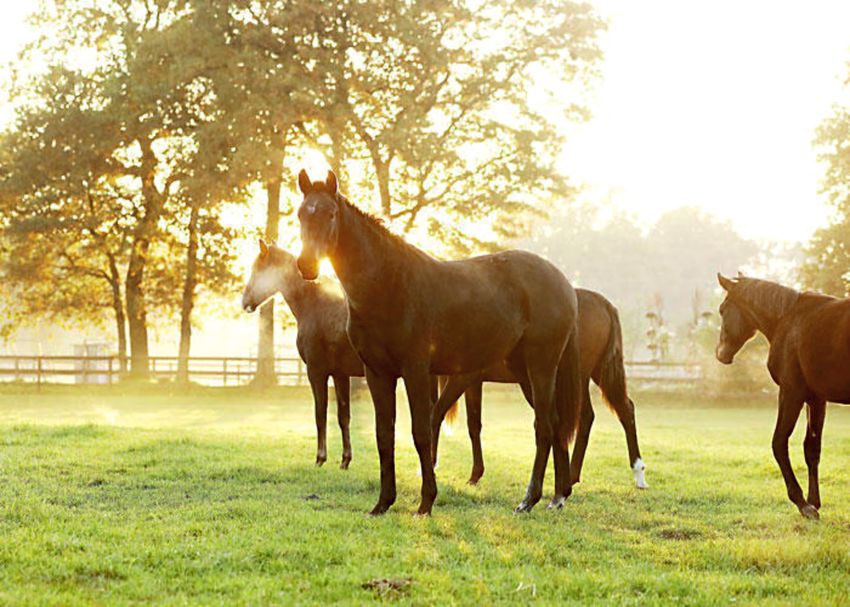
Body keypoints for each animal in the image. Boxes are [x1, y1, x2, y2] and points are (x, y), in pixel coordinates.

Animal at [242, 240, 364, 469]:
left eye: (256, 270)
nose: (245, 302)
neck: (315, 304)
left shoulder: (316, 372)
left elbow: (320, 414)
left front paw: (320, 458)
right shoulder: (340, 374)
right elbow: (343, 416)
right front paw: (345, 461)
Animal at [296, 170, 583, 516]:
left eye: (330, 214)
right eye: (301, 215)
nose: (306, 265)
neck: (390, 284)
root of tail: (564, 283)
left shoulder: (416, 370)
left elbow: (421, 432)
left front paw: (425, 502)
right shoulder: (377, 373)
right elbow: (384, 435)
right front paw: (383, 503)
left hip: (541, 366)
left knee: (543, 427)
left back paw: (529, 500)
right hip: (523, 370)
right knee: (554, 424)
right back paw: (557, 497)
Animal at [431, 288, 648, 489]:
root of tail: (603, 303)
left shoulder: (464, 378)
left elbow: (438, 413)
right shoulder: (474, 382)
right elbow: (473, 425)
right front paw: (475, 474)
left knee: (608, 413)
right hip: (587, 376)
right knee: (602, 413)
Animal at [716, 273, 850, 519]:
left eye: (722, 310)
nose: (720, 354)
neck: (787, 320)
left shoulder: (791, 393)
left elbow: (779, 442)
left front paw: (802, 503)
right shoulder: (816, 399)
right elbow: (812, 449)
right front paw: (813, 501)